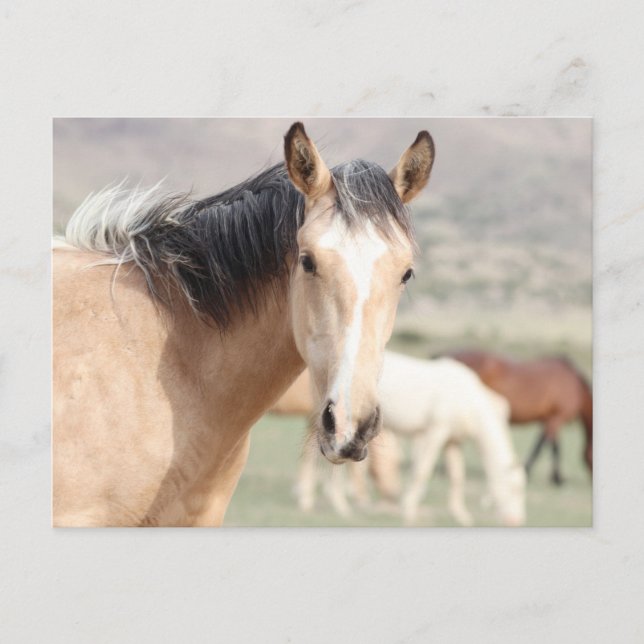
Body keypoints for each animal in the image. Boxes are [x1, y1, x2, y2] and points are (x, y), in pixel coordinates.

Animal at [285, 354, 526, 526]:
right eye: (514, 488)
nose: (516, 521)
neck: (467, 400)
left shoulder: (452, 441)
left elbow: (457, 476)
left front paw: (461, 515)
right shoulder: (435, 432)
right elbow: (422, 471)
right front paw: (408, 510)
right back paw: (329, 503)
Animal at [444, 350, 593, 485]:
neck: (575, 385)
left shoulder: (549, 419)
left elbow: (546, 444)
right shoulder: (558, 417)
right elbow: (548, 448)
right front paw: (553, 477)